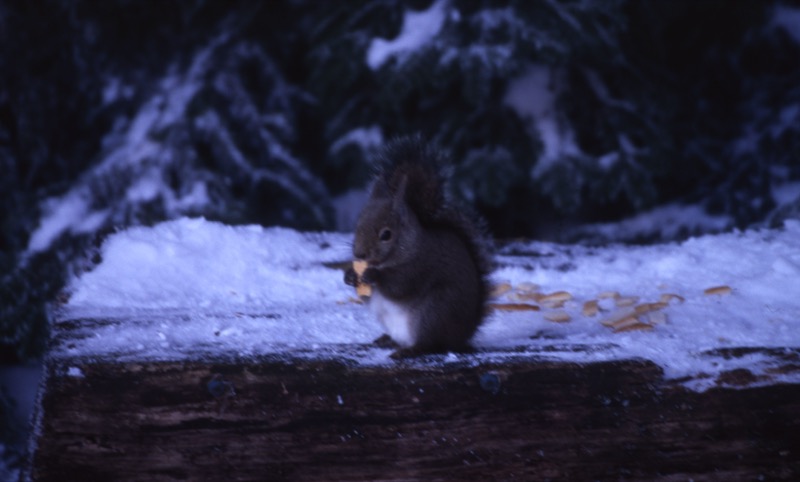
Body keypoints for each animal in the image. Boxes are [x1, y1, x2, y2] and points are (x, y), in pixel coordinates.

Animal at [346, 136, 494, 358]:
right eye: (358, 225)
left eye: (386, 235)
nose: (359, 253)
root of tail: (461, 335)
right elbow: (368, 298)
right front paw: (349, 275)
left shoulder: (420, 267)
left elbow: (398, 287)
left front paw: (373, 276)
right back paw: (387, 340)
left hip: (434, 312)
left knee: (431, 344)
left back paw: (409, 351)